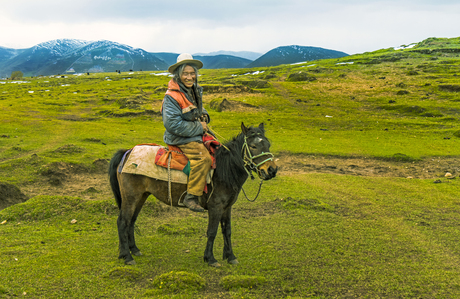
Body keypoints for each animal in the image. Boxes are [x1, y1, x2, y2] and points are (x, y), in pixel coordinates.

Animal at [109, 122, 278, 268]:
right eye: (253, 146)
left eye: (268, 145)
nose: (272, 170)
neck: (224, 170)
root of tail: (127, 152)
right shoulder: (215, 206)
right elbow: (212, 232)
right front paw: (210, 259)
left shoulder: (227, 207)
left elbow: (227, 231)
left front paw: (230, 257)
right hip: (131, 197)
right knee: (122, 221)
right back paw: (127, 256)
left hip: (141, 196)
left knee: (131, 221)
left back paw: (134, 250)